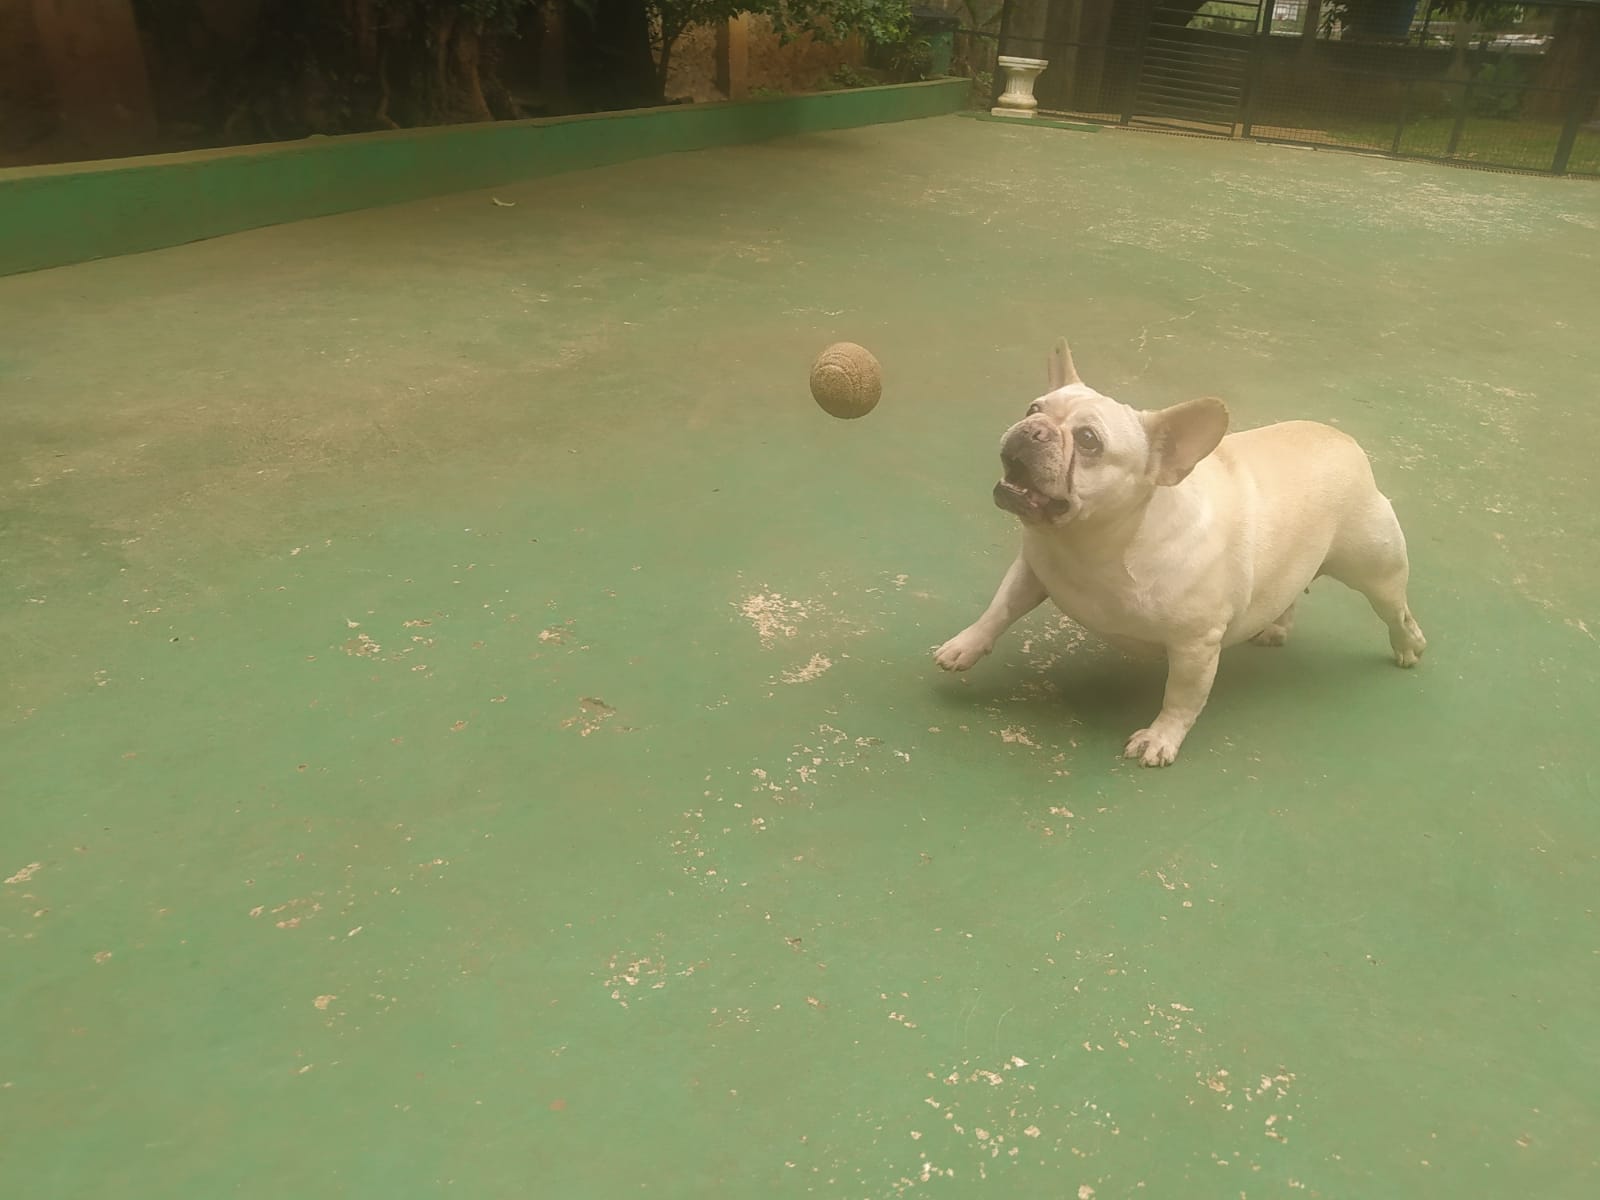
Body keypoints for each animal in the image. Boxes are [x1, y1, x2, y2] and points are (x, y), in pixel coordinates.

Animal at [935, 338, 1425, 767]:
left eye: (1089, 440)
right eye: (1033, 409)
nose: (1033, 429)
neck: (1098, 543)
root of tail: (1342, 440)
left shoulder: (1196, 647)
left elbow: (1182, 697)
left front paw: (1160, 738)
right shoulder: (1032, 570)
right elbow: (1000, 609)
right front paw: (964, 646)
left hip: (1376, 569)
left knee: (1397, 612)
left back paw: (1408, 646)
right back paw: (1275, 627)